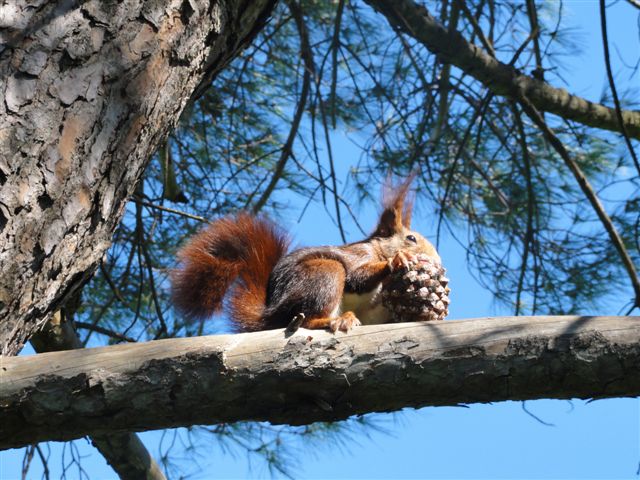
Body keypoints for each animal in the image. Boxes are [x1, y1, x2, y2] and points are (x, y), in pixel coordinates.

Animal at [170, 177, 440, 334]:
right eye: (411, 239)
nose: (436, 261)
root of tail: (271, 314)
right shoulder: (358, 254)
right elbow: (356, 277)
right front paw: (397, 260)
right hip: (324, 274)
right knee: (309, 318)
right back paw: (332, 321)